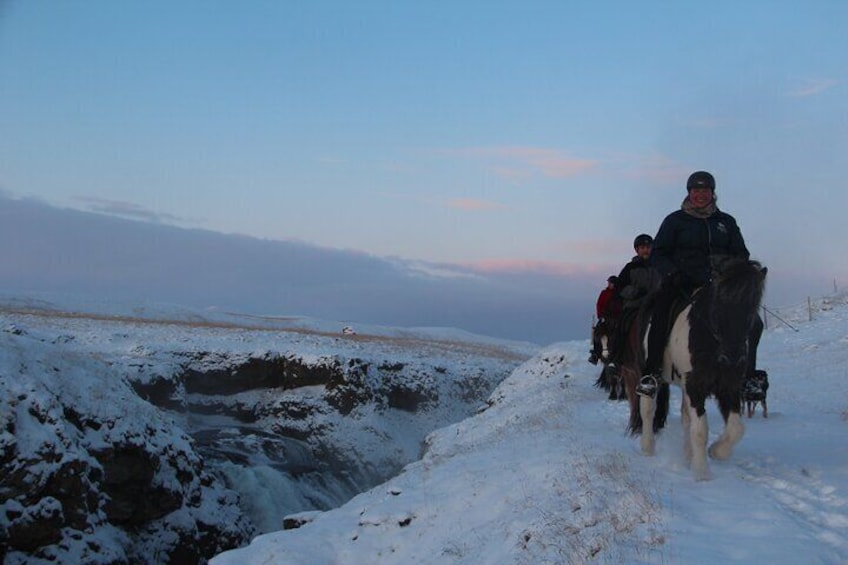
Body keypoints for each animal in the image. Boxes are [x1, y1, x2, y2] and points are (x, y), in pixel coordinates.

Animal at [616, 258, 768, 478]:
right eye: (719, 306)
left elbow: (736, 428)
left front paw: (715, 452)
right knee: (647, 409)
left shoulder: (727, 384)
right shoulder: (696, 383)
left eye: (752, 308)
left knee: (686, 417)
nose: (732, 358)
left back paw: (688, 455)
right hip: (646, 372)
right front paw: (702, 472)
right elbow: (700, 430)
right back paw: (648, 448)